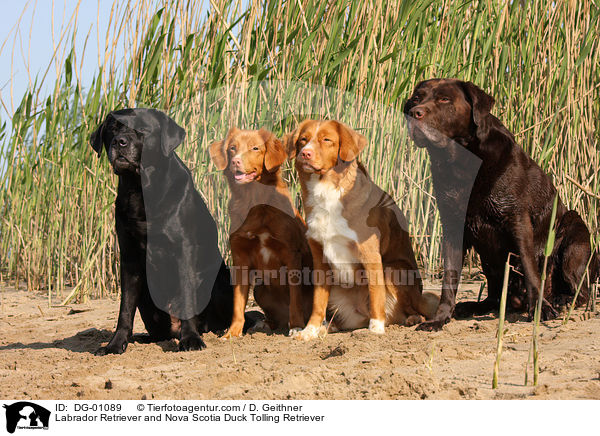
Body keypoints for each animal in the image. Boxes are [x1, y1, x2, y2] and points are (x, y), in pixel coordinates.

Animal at [90, 109, 233, 354]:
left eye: (142, 129)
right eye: (112, 129)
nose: (120, 142)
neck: (140, 189)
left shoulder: (184, 250)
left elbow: (187, 297)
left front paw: (191, 339)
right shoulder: (129, 258)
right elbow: (125, 308)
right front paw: (115, 344)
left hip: (221, 279)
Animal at [406, 79, 596, 330]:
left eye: (444, 99)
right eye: (417, 98)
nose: (414, 113)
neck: (458, 161)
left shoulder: (516, 219)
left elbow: (529, 267)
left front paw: (540, 309)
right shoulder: (452, 228)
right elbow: (449, 277)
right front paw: (439, 318)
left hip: (574, 229)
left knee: (582, 291)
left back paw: (560, 300)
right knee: (495, 298)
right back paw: (471, 307)